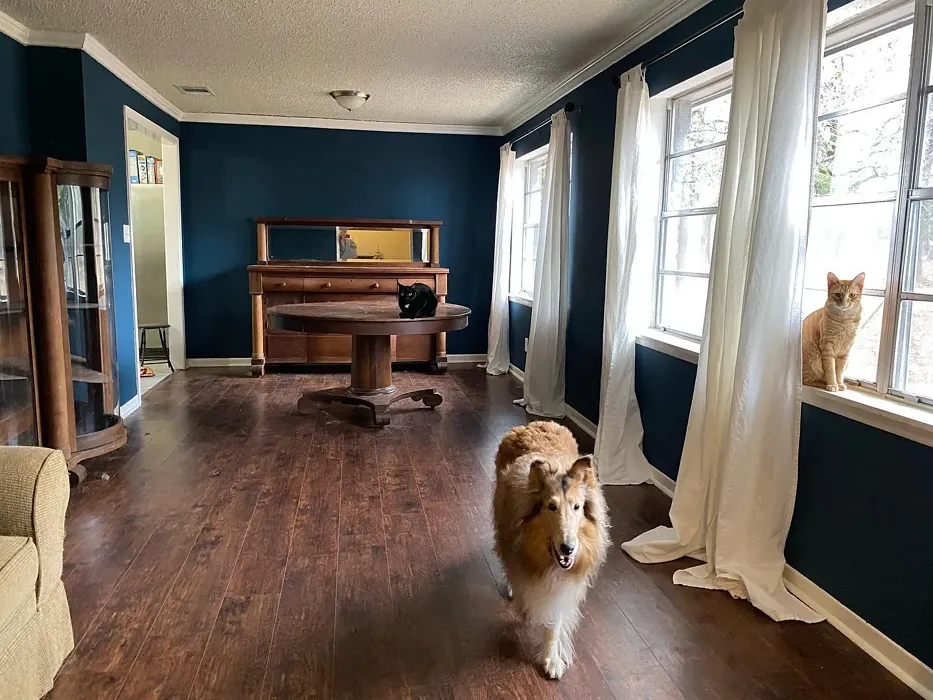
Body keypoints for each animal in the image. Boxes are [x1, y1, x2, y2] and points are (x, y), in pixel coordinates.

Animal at [492, 422, 608, 680]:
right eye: (551, 506)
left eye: (577, 506)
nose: (568, 549)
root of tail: (534, 423)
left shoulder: (563, 585)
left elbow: (555, 621)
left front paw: (551, 660)